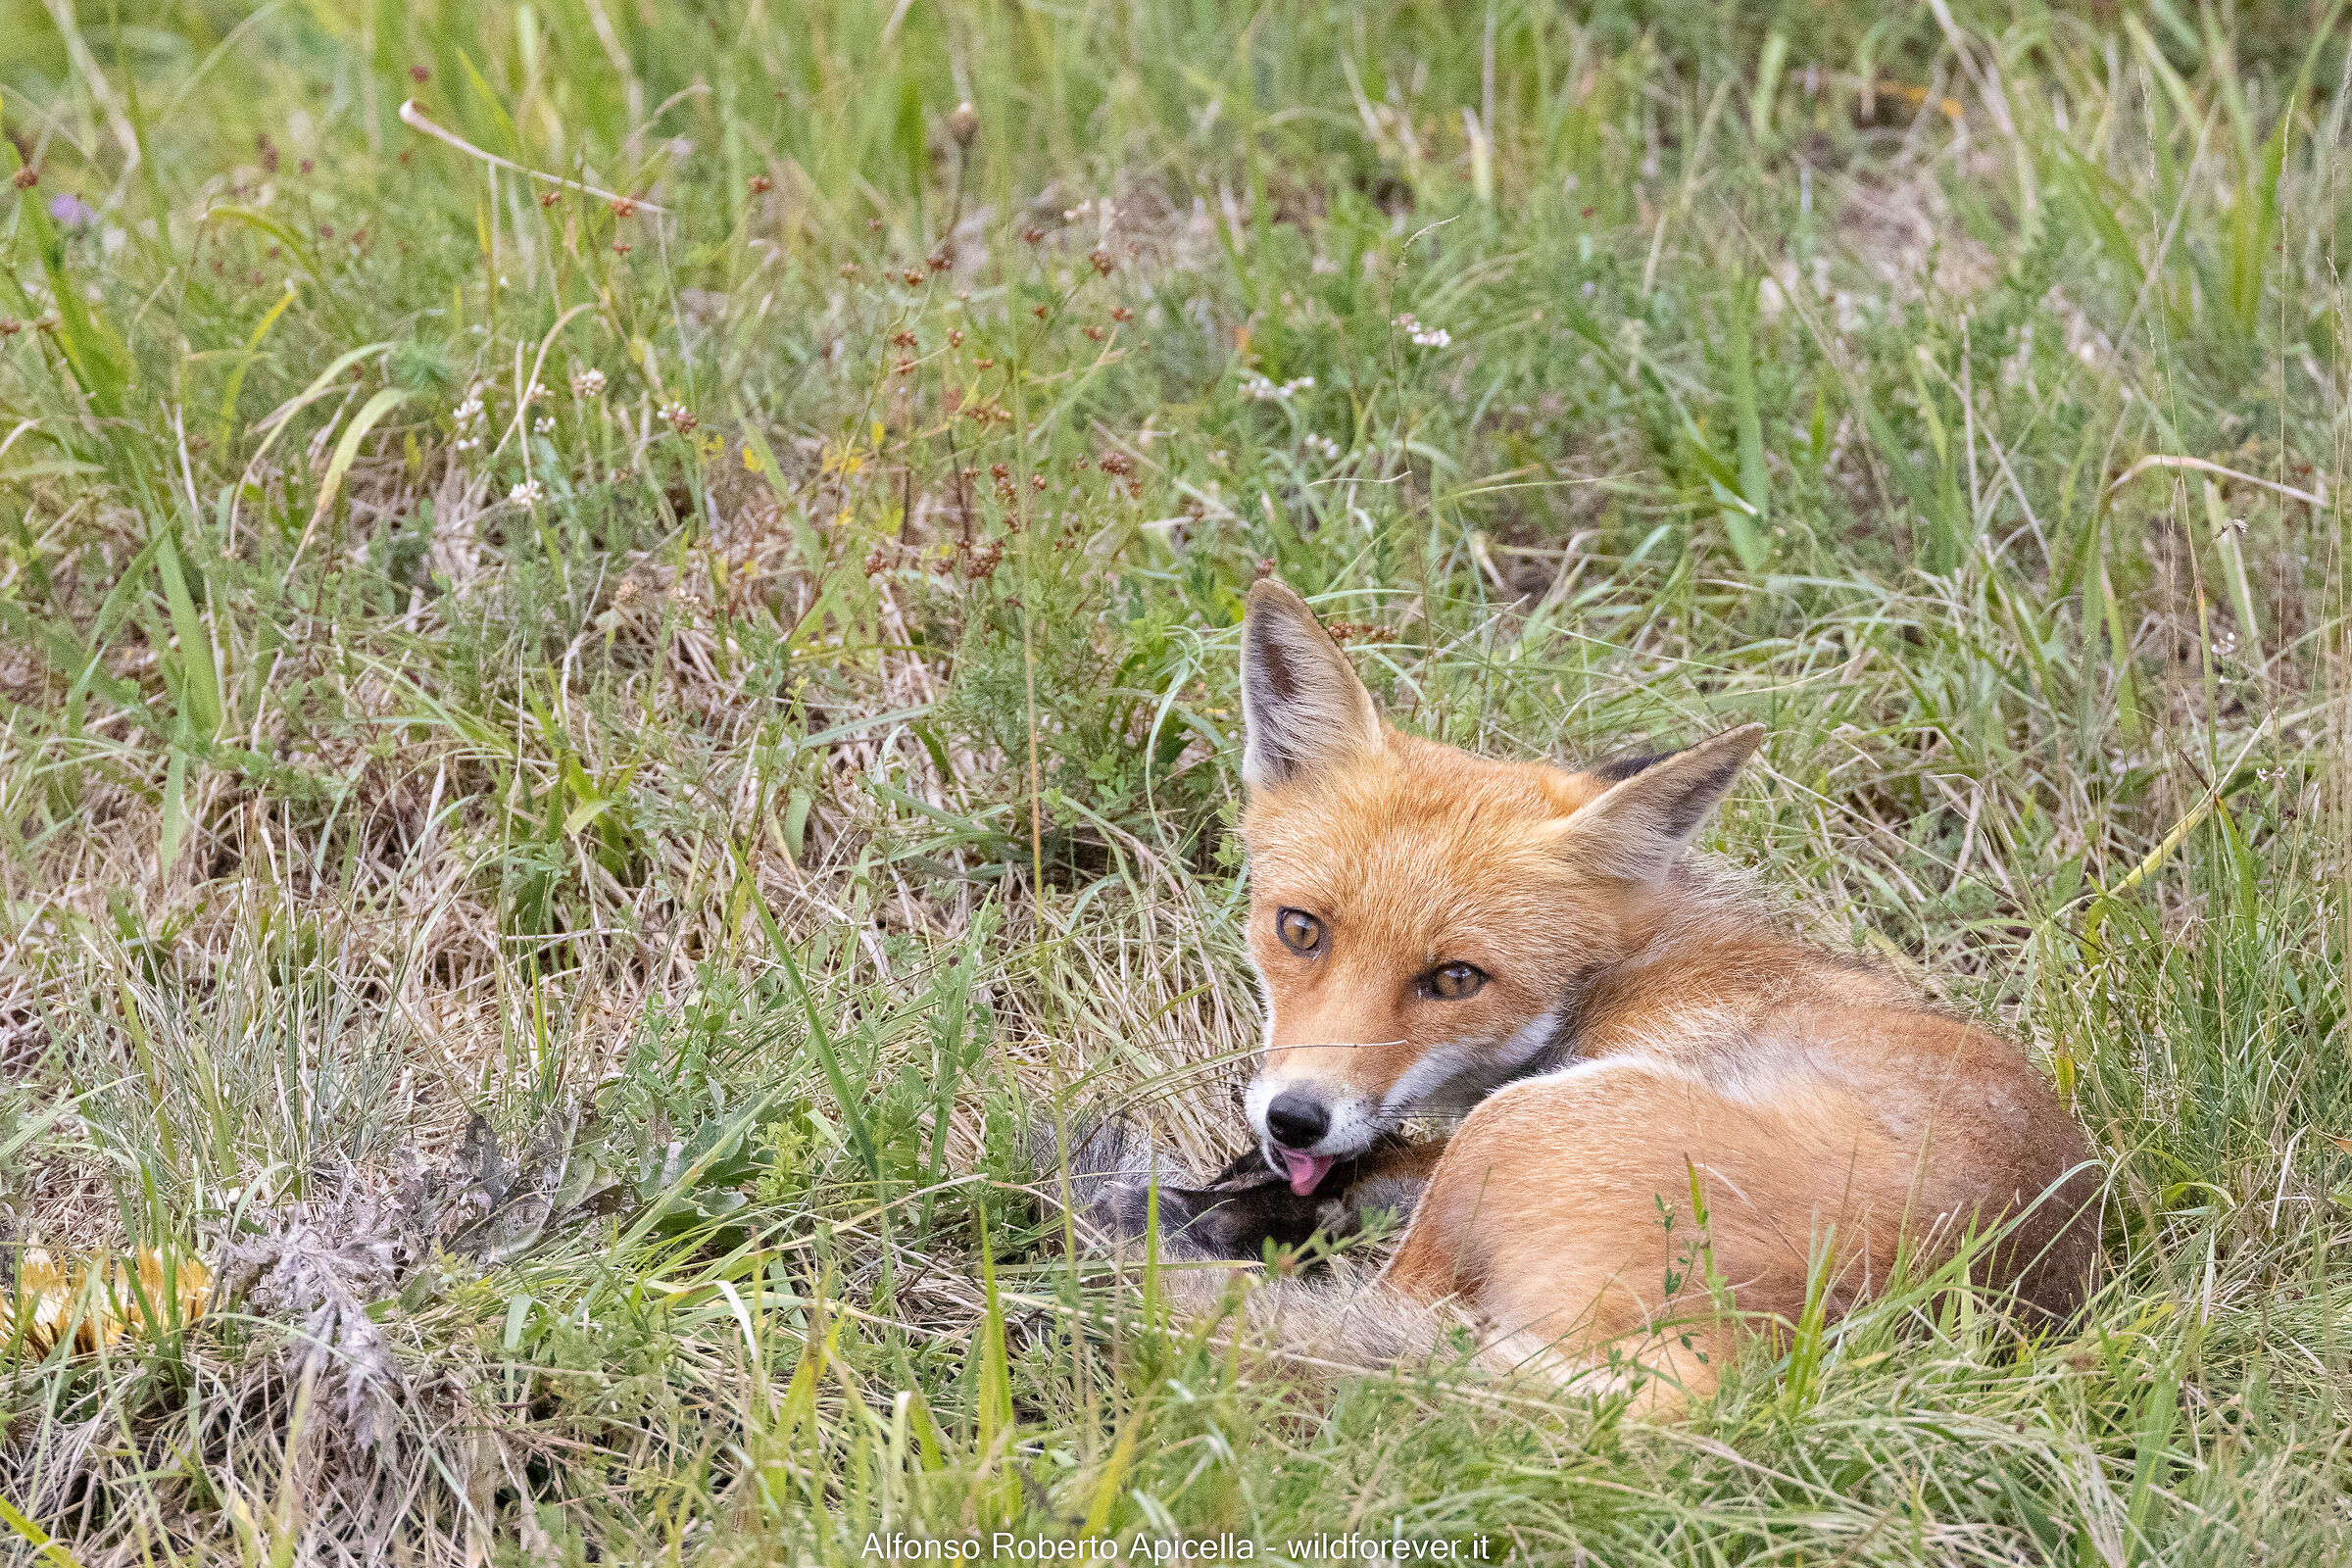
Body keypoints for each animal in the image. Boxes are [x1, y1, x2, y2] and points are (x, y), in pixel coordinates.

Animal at [1067, 578, 2099, 1402]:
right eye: (1299, 930)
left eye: (1455, 978)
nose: (1295, 1119)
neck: (1622, 970)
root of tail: (1750, 1362)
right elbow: (1350, 1178)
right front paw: (1228, 1200)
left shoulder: (1466, 1136)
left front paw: (1196, 1215)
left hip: (1520, 1131)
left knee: (1388, 1304)